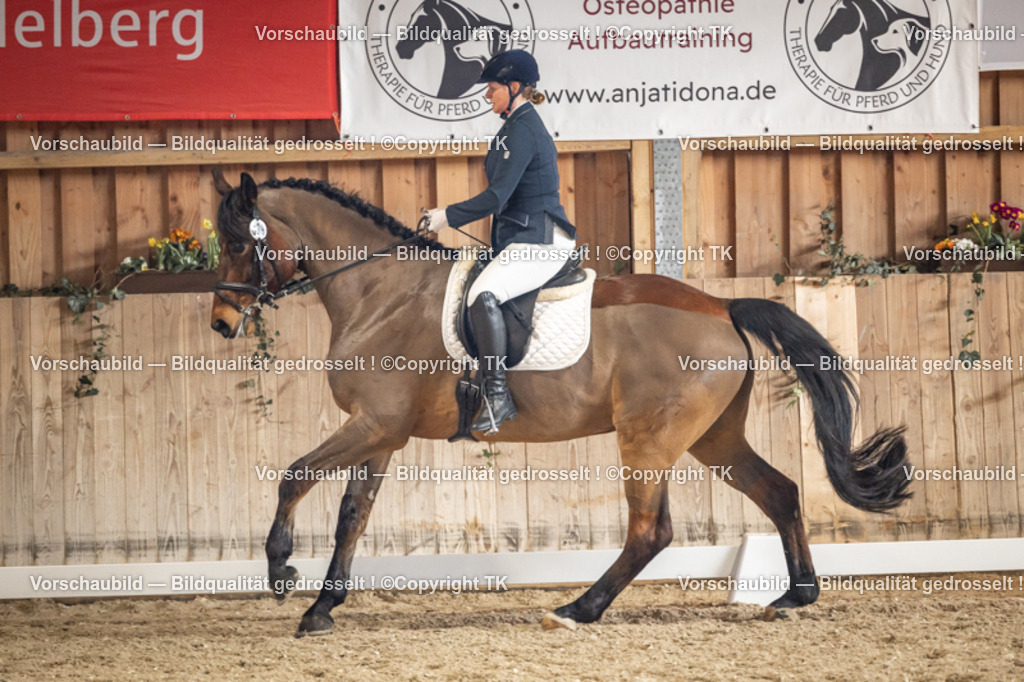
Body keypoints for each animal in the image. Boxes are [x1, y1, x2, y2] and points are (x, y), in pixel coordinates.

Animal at [209, 171, 911, 637]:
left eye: (239, 243)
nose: (221, 322)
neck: (380, 290)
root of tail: (721, 305)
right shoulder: (381, 432)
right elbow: (351, 515)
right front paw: (321, 607)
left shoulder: (374, 424)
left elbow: (293, 475)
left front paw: (280, 572)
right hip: (714, 438)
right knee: (780, 492)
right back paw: (797, 595)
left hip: (649, 439)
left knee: (651, 530)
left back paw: (578, 608)